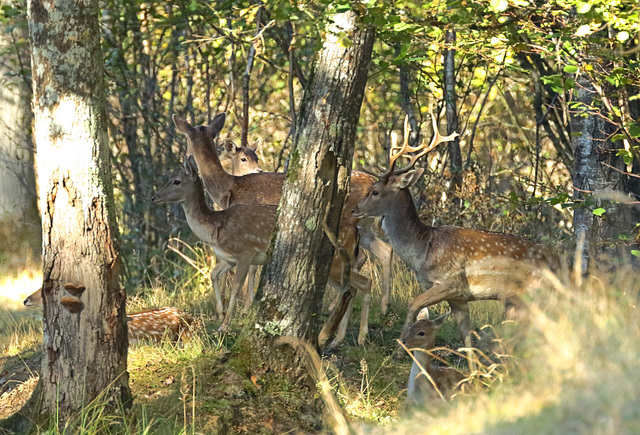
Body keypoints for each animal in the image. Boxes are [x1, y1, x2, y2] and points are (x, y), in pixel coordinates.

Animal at [352, 114, 556, 350]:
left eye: (375, 191)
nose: (353, 209)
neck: (423, 250)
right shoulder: (459, 296)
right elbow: (465, 335)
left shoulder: (449, 281)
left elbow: (413, 305)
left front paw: (400, 348)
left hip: (530, 294)